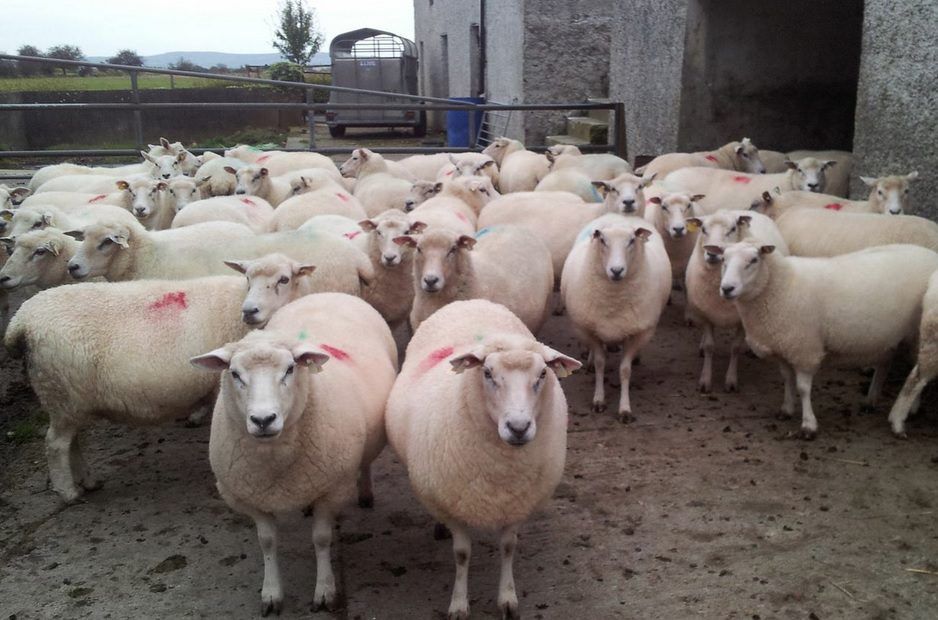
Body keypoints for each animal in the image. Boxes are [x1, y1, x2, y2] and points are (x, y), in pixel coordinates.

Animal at [4, 275, 251, 502]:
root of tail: (20, 322)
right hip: (61, 393)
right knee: (56, 444)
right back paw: (69, 492)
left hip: (68, 400)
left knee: (71, 442)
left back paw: (88, 481)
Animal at [191, 292, 396, 614]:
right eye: (234, 374)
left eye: (290, 369)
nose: (263, 420)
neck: (275, 463)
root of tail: (328, 293)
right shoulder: (249, 498)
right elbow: (267, 542)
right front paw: (271, 593)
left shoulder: (332, 489)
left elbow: (321, 539)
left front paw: (325, 590)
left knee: (364, 464)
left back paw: (365, 493)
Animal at [385, 299, 580, 619]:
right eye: (487, 373)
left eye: (542, 375)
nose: (518, 427)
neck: (501, 470)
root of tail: (470, 301)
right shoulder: (452, 506)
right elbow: (462, 554)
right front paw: (459, 604)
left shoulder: (517, 505)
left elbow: (508, 547)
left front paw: (507, 599)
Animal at [561, 213, 671, 421]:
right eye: (603, 240)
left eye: (632, 240)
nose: (617, 270)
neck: (614, 302)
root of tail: (620, 215)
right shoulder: (588, 329)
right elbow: (600, 363)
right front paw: (598, 400)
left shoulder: (638, 332)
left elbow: (625, 370)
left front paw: (625, 409)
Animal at [683, 211, 788, 393]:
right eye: (703, 229)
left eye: (733, 229)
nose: (712, 254)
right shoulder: (706, 313)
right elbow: (710, 346)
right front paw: (705, 380)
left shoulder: (741, 320)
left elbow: (735, 348)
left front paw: (731, 380)